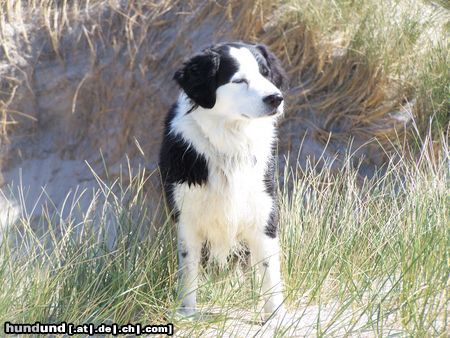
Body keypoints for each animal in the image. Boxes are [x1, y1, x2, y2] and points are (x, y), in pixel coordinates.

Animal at [159, 42, 284, 320]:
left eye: (265, 73)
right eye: (239, 80)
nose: (276, 98)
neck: (230, 143)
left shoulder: (263, 210)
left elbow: (270, 270)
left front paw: (276, 317)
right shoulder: (186, 216)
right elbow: (189, 270)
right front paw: (187, 314)